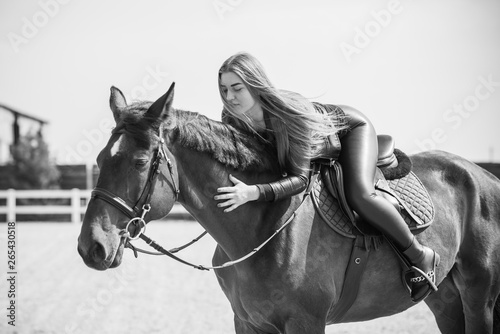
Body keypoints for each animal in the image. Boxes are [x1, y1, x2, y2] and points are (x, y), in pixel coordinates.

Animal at [77, 83, 500, 332]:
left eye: (139, 162)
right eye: (98, 159)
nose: (90, 247)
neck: (259, 229)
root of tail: (484, 177)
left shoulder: (305, 322)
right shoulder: (247, 322)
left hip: (480, 299)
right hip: (445, 302)